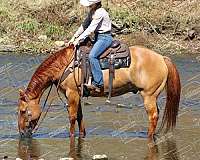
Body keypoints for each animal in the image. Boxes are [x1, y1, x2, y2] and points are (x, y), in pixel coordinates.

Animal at [18, 43, 181, 140]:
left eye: (23, 111)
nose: (21, 133)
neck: (64, 65)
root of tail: (162, 58)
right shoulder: (77, 94)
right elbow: (80, 117)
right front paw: (82, 135)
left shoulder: (72, 93)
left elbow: (72, 117)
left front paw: (71, 136)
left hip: (148, 95)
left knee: (153, 116)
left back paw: (148, 136)